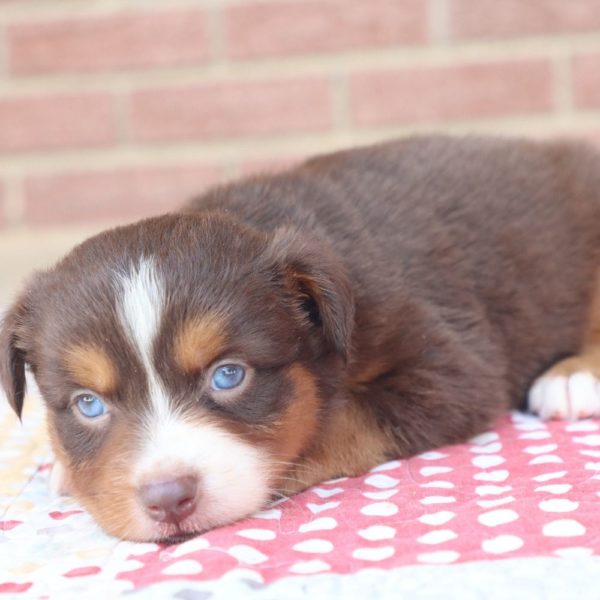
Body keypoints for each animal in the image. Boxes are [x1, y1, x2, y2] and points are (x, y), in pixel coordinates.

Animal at [1, 137, 600, 544]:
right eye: (88, 405)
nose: (167, 499)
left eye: (229, 375)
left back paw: (572, 377)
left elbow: (332, 420)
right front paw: (71, 470)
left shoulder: (449, 368)